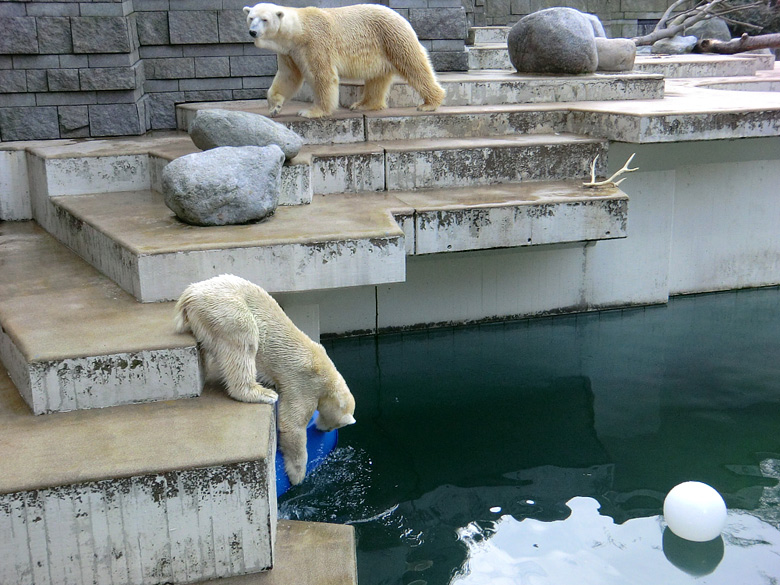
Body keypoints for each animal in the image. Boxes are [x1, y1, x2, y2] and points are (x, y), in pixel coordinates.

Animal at [174, 274, 356, 484]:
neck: (329, 378)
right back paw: (261, 392)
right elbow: (292, 425)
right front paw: (297, 475)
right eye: (337, 424)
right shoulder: (305, 384)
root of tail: (189, 294)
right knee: (244, 338)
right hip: (225, 308)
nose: (324, 431)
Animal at [241, 1, 448, 118]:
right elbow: (287, 77)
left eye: (265, 19)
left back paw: (429, 103)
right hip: (379, 49)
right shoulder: (289, 52)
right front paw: (274, 108)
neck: (299, 30)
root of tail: (400, 16)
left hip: (392, 36)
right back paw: (363, 104)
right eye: (251, 17)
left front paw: (311, 112)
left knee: (413, 64)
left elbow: (322, 76)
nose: (252, 32)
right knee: (377, 77)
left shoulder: (315, 43)